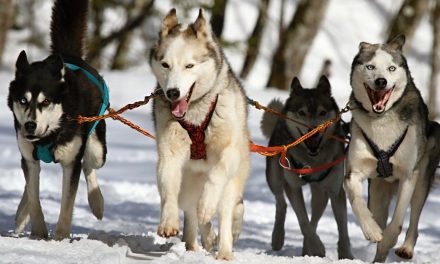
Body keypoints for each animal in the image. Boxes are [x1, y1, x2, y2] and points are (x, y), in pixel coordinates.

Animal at [7, 0, 107, 239]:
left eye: (46, 101)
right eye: (23, 100)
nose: (30, 125)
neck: (49, 136)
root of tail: (68, 56)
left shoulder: (71, 162)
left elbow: (67, 205)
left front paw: (60, 237)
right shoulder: (30, 157)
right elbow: (34, 197)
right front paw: (39, 233)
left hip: (97, 148)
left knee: (89, 164)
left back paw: (96, 202)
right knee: (28, 185)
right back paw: (21, 214)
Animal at [149, 9, 249, 260]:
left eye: (189, 66)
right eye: (165, 64)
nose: (172, 93)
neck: (195, 114)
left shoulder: (229, 153)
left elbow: (217, 175)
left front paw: (207, 204)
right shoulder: (169, 154)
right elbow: (168, 189)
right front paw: (168, 222)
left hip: (232, 184)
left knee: (225, 213)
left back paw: (224, 251)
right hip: (188, 186)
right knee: (191, 214)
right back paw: (196, 244)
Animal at [262, 75, 352, 258]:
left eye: (322, 112)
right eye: (302, 112)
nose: (314, 130)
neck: (312, 160)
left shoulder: (335, 191)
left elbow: (343, 229)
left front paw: (346, 256)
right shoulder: (293, 187)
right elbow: (303, 220)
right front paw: (317, 247)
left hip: (321, 193)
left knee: (315, 217)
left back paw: (306, 250)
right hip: (274, 177)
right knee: (281, 203)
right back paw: (278, 238)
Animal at [344, 35, 440, 262]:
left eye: (391, 68)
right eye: (370, 66)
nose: (381, 81)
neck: (381, 120)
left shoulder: (408, 175)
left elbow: (396, 222)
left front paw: (388, 239)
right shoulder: (354, 173)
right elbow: (357, 202)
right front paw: (371, 230)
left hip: (422, 179)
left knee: (414, 218)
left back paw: (406, 248)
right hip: (378, 192)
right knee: (377, 213)